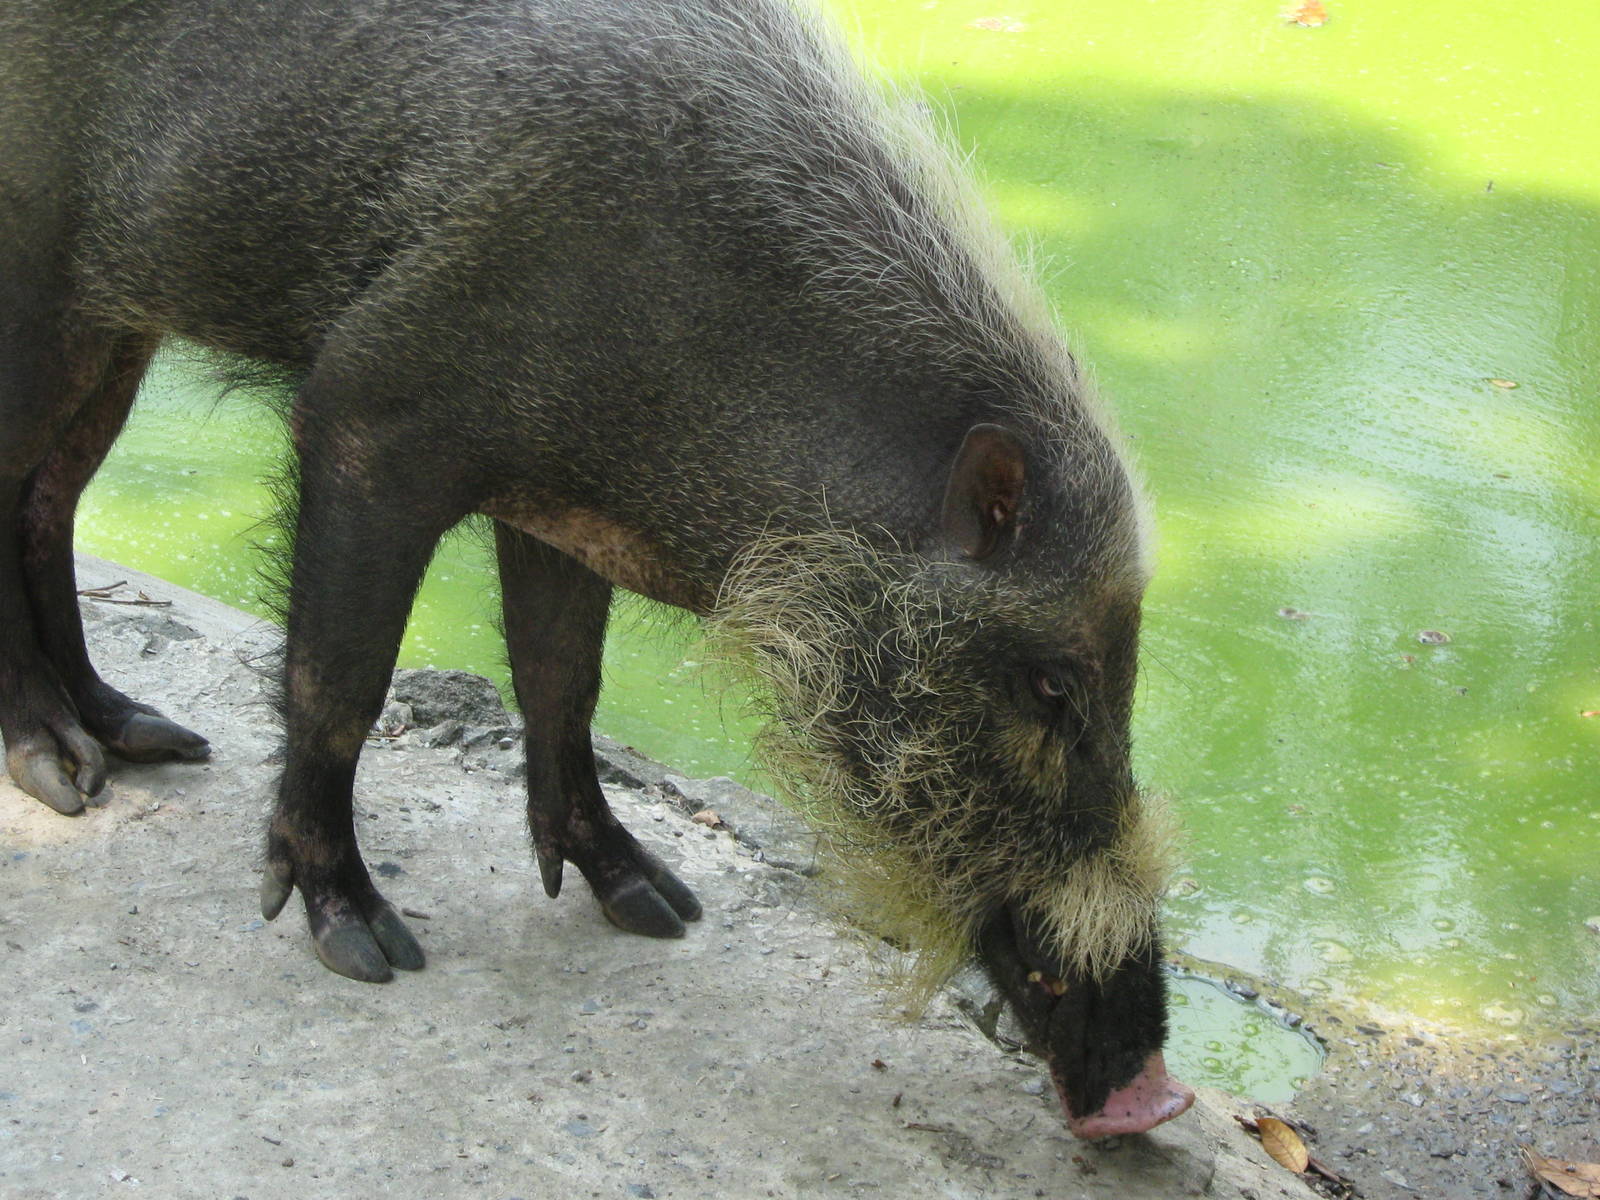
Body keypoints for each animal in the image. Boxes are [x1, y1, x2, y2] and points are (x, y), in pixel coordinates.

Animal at [0, 0, 1194, 1136]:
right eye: (1050, 686)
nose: (1153, 1092)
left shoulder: (557, 503)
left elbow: (564, 686)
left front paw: (654, 903)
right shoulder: (367, 419)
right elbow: (339, 685)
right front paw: (366, 944)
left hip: (115, 322)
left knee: (47, 506)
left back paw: (139, 738)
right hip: (45, 295)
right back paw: (58, 770)